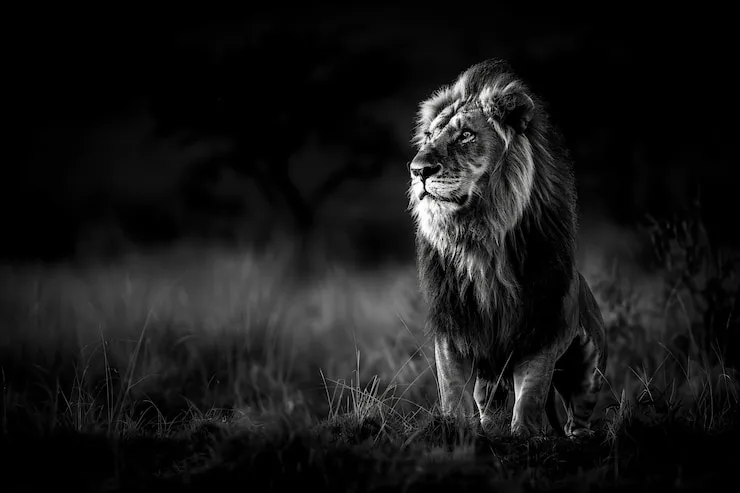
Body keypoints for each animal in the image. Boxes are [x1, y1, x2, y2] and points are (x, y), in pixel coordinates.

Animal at [407, 59, 608, 438]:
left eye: (466, 135)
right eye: (429, 136)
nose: (418, 169)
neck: (479, 236)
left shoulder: (543, 326)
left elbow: (531, 392)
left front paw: (525, 434)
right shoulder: (453, 326)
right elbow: (452, 389)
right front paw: (458, 430)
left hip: (590, 363)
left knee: (579, 410)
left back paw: (578, 436)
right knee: (488, 400)